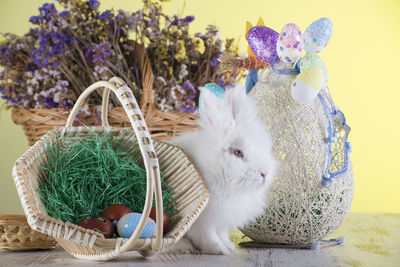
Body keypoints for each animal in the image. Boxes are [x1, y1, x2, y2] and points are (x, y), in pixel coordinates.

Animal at [170, 84, 278, 255]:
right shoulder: (204, 221)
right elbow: (209, 237)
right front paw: (221, 250)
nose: (264, 174)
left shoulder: (222, 220)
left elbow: (221, 234)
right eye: (238, 152)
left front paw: (229, 247)